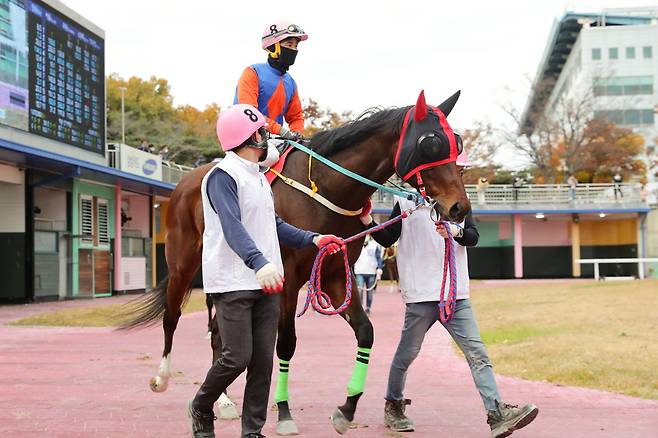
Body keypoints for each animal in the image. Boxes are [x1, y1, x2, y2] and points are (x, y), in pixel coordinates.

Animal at [123, 90, 468, 434]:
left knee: (220, 334)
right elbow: (286, 343)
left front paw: (346, 409)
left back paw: (223, 401)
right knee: (172, 316)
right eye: (430, 143)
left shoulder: (335, 275)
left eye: (457, 142)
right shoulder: (286, 279)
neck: (327, 190)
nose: (460, 208)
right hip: (183, 266)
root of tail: (186, 182)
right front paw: (285, 412)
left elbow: (365, 332)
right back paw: (163, 377)